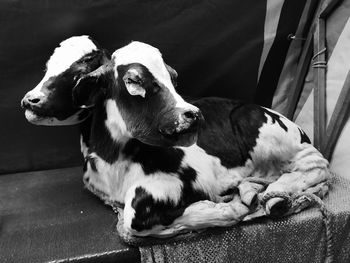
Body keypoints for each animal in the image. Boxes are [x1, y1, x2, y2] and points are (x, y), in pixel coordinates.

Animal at [20, 36, 330, 237]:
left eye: (172, 78)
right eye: (133, 80)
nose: (29, 100)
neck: (112, 162)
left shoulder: (186, 182)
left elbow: (134, 219)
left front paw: (225, 210)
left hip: (267, 132)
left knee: (316, 168)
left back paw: (275, 195)